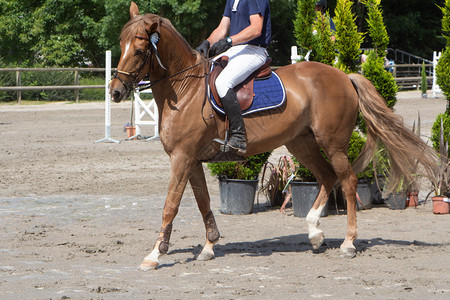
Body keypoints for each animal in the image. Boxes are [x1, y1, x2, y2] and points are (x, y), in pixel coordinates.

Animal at [109, 2, 436, 270]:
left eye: (139, 51)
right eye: (121, 46)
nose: (115, 92)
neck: (185, 88)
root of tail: (344, 76)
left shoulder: (182, 157)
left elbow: (171, 205)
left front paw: (155, 255)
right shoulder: (193, 160)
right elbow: (202, 201)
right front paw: (209, 246)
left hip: (332, 143)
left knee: (348, 181)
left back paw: (348, 243)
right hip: (301, 142)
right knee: (327, 177)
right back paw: (314, 232)